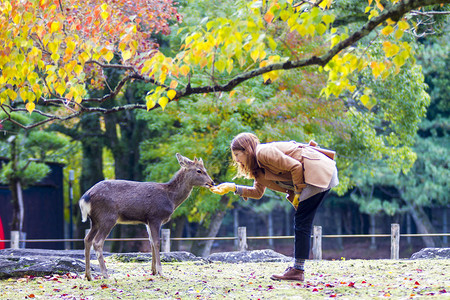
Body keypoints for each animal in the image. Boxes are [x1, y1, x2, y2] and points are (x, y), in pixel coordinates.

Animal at [78, 154, 215, 280]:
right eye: (199, 170)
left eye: (205, 169)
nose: (212, 182)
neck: (171, 199)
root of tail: (85, 197)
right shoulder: (155, 217)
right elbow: (157, 242)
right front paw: (161, 272)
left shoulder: (147, 221)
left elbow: (151, 242)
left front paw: (153, 271)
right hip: (108, 217)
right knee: (97, 242)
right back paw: (105, 274)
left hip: (95, 220)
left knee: (87, 239)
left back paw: (88, 275)